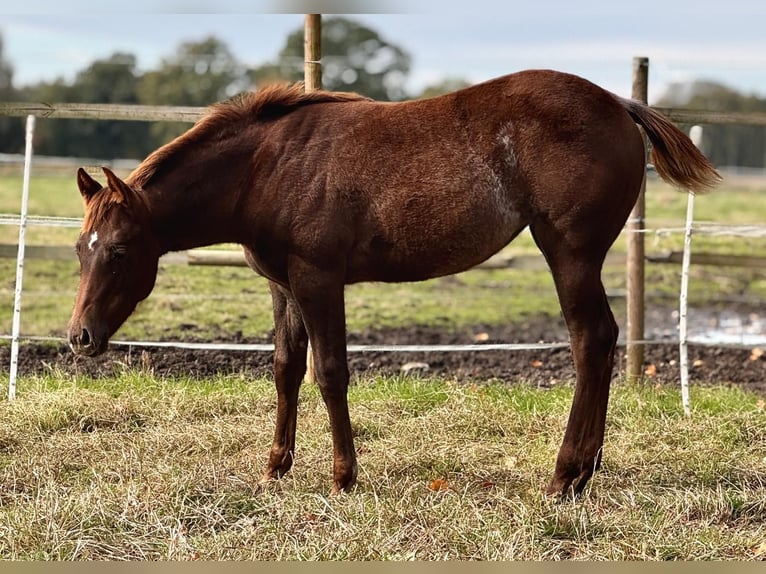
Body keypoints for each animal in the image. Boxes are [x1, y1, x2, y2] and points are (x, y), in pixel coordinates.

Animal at [68, 69, 720, 496]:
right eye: (80, 248)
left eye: (119, 251)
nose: (79, 337)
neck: (265, 167)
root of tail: (617, 101)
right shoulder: (283, 285)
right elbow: (286, 368)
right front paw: (275, 468)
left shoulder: (319, 278)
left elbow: (330, 371)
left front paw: (343, 477)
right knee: (602, 343)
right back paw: (588, 471)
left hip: (570, 253)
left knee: (592, 340)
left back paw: (564, 476)